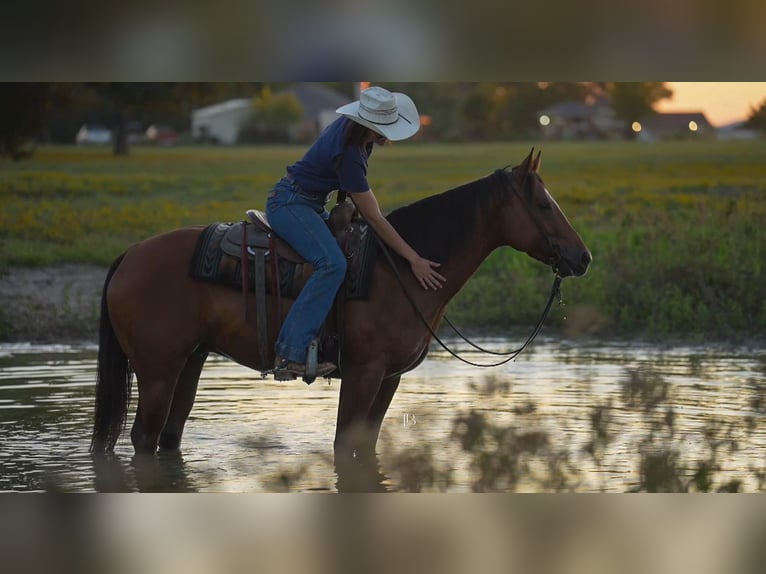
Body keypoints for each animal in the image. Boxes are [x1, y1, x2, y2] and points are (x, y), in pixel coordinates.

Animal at [90, 148, 591, 462]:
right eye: (544, 206)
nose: (583, 257)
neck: (400, 269)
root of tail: (130, 254)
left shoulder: (388, 378)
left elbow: (364, 448)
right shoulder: (363, 373)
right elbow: (342, 447)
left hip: (190, 362)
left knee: (168, 438)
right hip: (158, 370)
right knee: (144, 437)